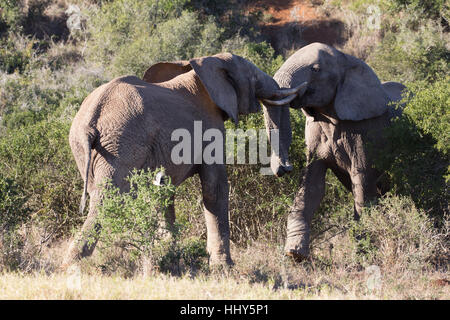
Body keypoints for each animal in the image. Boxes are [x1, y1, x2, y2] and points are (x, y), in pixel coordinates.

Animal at [62, 53, 306, 268]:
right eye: (254, 77)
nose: (285, 169)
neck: (205, 66)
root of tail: (92, 118)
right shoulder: (209, 128)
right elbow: (214, 188)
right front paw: (224, 267)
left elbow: (163, 191)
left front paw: (169, 254)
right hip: (122, 142)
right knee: (109, 198)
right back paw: (73, 262)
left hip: (86, 146)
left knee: (98, 193)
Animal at [262, 42, 406, 262]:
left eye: (315, 69)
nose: (284, 168)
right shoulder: (315, 133)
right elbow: (312, 186)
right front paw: (294, 253)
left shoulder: (366, 131)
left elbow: (362, 183)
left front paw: (364, 255)